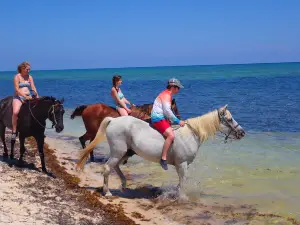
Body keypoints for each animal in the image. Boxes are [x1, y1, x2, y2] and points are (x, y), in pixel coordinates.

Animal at [76, 105, 245, 199]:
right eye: (229, 119)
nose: (242, 133)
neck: (191, 133)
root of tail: (113, 120)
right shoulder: (182, 164)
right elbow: (183, 181)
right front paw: (182, 197)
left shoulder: (182, 165)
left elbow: (180, 182)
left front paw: (176, 194)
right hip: (119, 151)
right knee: (107, 168)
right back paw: (108, 192)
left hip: (124, 152)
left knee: (115, 167)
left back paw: (123, 185)